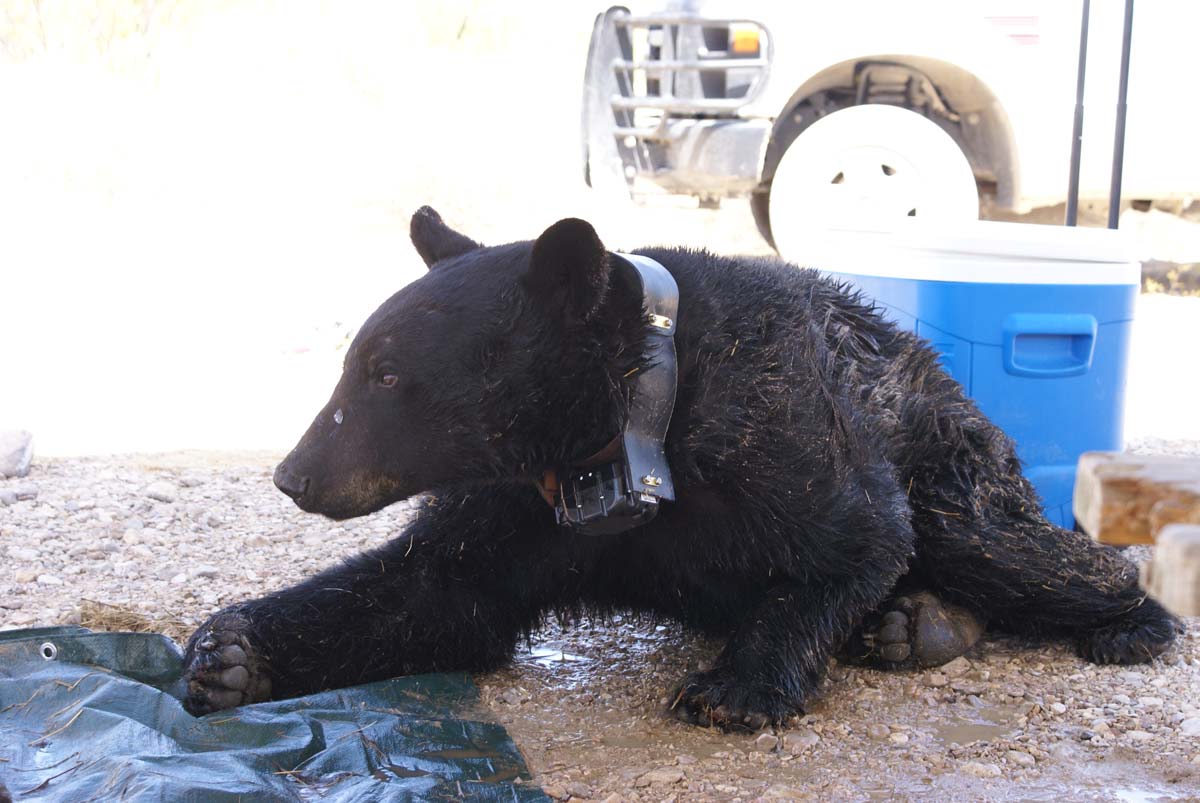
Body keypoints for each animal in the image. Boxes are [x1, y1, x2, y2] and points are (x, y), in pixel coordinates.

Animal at [182, 207, 1179, 729]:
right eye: (356, 363)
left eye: (386, 374)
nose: (294, 474)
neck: (634, 426)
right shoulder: (529, 504)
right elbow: (438, 594)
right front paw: (233, 651)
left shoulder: (780, 423)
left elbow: (859, 539)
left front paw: (739, 683)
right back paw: (921, 623)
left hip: (950, 446)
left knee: (998, 542)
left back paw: (1123, 618)